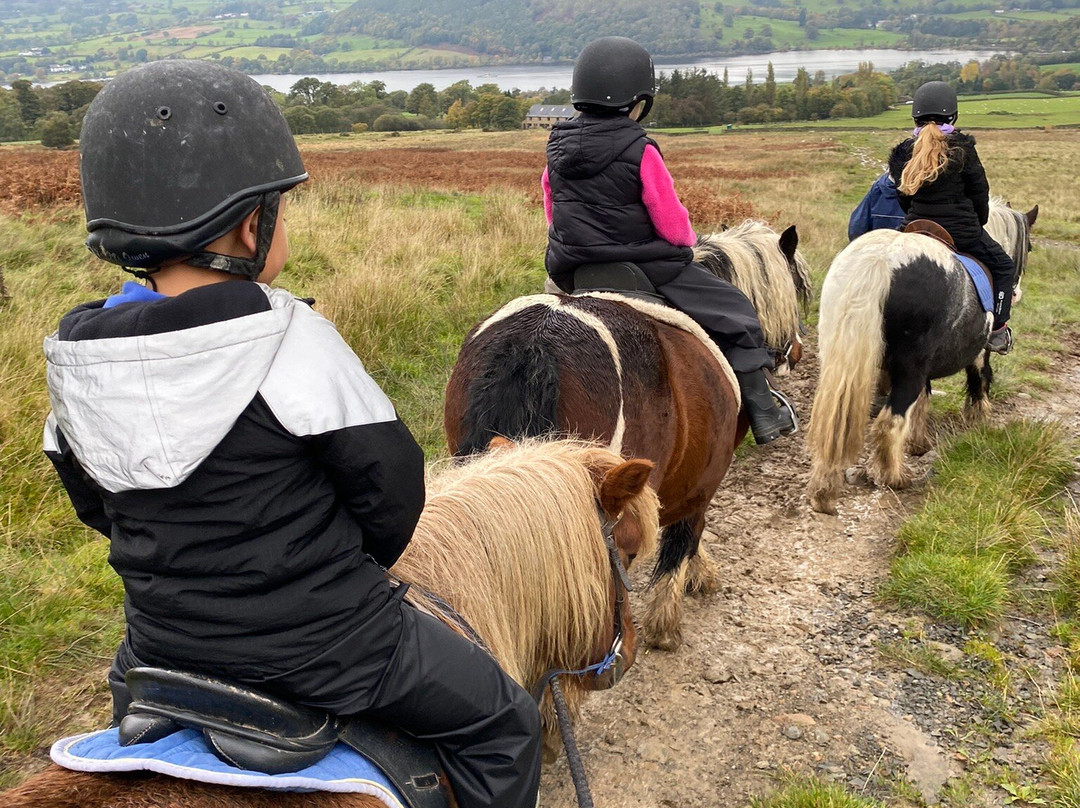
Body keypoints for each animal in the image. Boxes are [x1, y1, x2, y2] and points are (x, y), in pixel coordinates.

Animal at [812, 202, 1036, 518]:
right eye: (1028, 247)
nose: (1016, 293)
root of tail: (879, 262)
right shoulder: (978, 350)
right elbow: (979, 379)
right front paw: (978, 419)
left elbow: (923, 401)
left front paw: (918, 444)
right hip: (909, 369)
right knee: (889, 423)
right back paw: (895, 477)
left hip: (841, 359)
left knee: (832, 424)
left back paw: (823, 492)